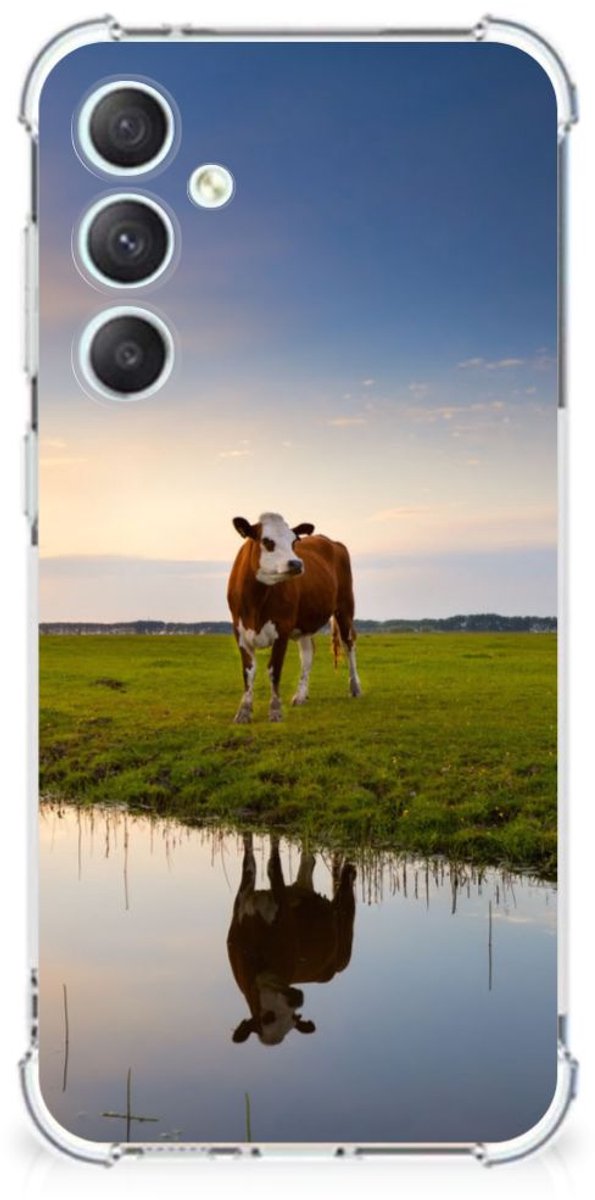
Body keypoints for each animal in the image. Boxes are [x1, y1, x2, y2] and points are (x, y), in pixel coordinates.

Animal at [227, 512, 361, 723]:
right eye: (267, 541)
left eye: (294, 541)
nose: (297, 563)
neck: (256, 601)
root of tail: (331, 541)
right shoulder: (239, 631)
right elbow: (248, 671)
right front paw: (244, 711)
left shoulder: (282, 629)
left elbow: (274, 670)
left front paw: (275, 710)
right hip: (305, 624)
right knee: (308, 653)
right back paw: (300, 695)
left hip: (345, 607)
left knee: (349, 644)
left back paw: (355, 687)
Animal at [227, 833, 356, 1046]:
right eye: (268, 1017)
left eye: (293, 1018)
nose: (297, 999)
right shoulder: (242, 901)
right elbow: (249, 861)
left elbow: (273, 865)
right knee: (309, 861)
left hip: (344, 945)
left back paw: (349, 871)